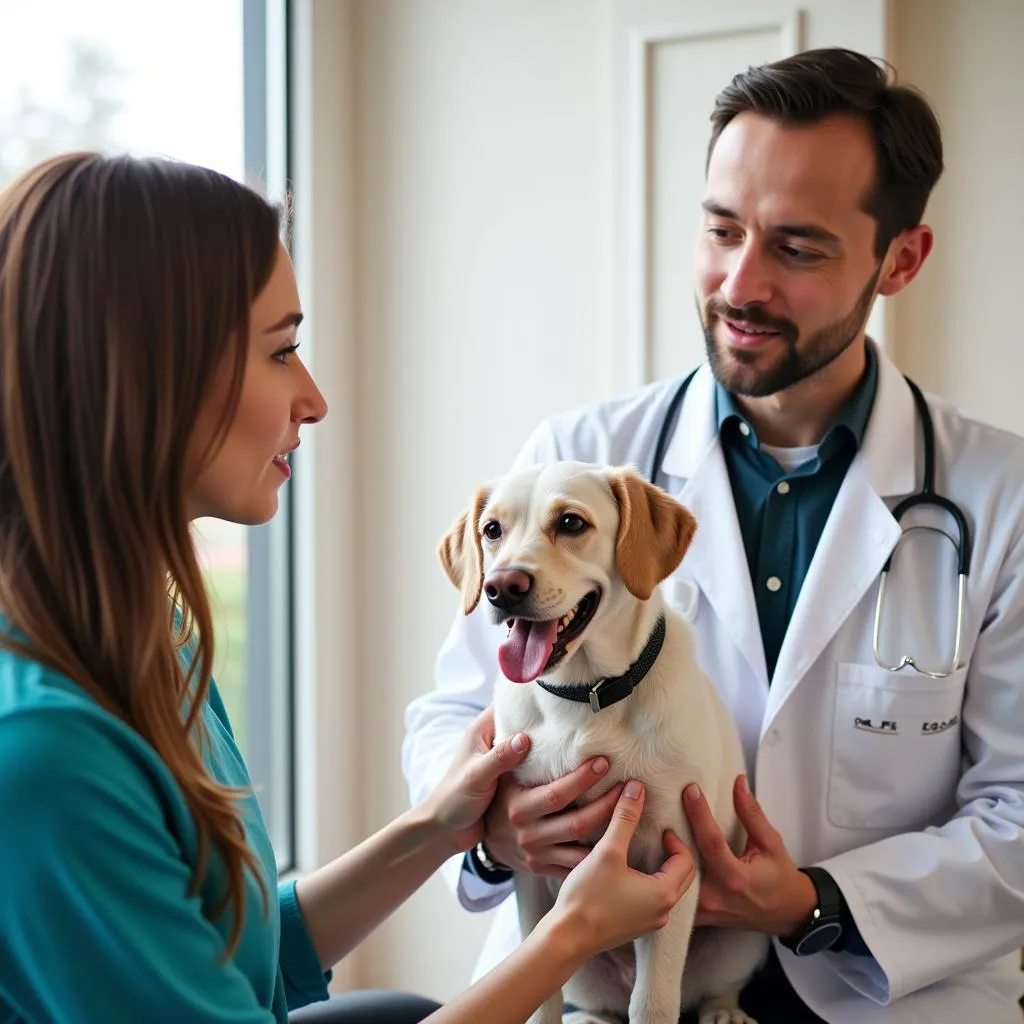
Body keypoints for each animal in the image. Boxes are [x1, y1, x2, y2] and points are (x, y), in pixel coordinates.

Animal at [438, 460, 770, 1019]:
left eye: (571, 523)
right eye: (492, 530)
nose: (502, 587)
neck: (584, 698)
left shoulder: (673, 858)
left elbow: (653, 1003)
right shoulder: (531, 875)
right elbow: (539, 993)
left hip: (741, 941)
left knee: (708, 988)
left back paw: (724, 1011)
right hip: (585, 972)